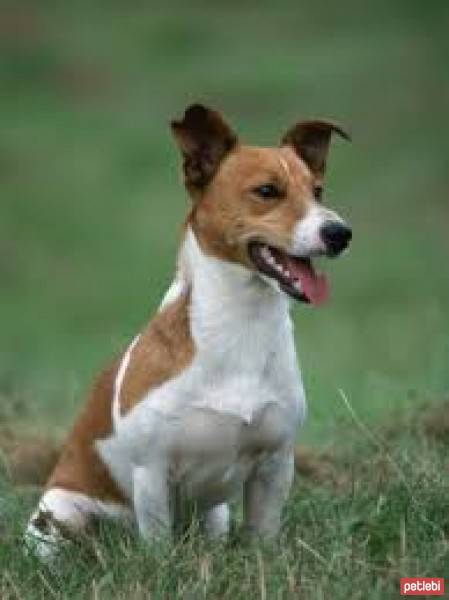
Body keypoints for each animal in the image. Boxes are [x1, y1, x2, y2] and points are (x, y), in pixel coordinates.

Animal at [26, 102, 352, 556]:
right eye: (267, 191)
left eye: (318, 191)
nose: (340, 233)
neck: (241, 327)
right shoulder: (152, 472)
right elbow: (159, 545)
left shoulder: (274, 465)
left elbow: (263, 536)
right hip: (59, 515)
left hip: (215, 516)